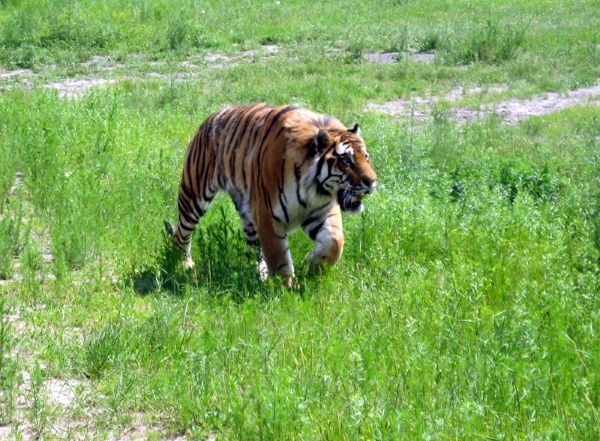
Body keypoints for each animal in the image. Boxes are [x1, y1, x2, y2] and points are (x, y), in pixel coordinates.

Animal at [164, 104, 378, 288]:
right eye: (346, 160)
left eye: (366, 158)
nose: (372, 182)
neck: (313, 189)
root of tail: (210, 118)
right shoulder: (268, 216)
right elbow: (279, 257)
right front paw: (288, 288)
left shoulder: (321, 211)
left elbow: (334, 241)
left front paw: (313, 266)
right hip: (193, 194)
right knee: (181, 233)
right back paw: (184, 265)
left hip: (248, 213)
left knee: (253, 250)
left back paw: (260, 275)